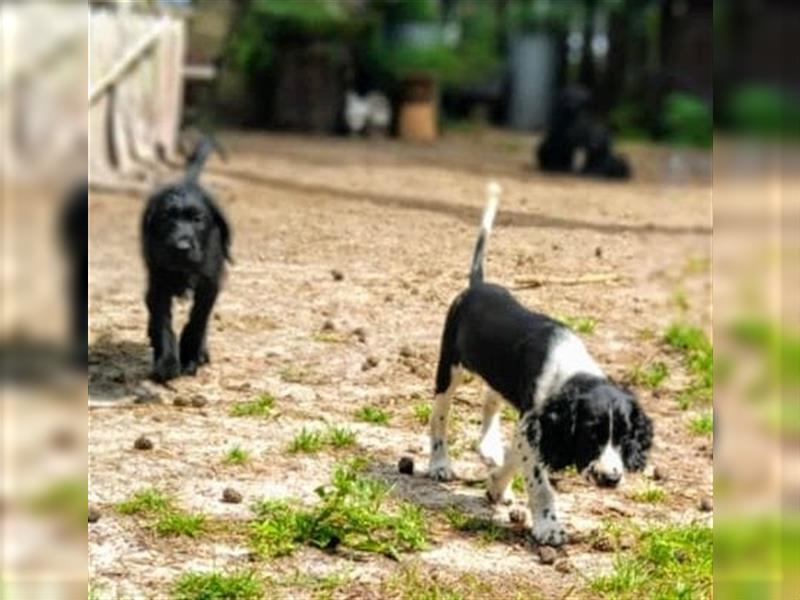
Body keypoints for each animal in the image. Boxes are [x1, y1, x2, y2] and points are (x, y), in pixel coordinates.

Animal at [141, 137, 231, 380]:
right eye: (166, 217)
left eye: (198, 219)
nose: (181, 247)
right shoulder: (159, 281)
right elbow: (162, 321)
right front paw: (167, 361)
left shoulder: (210, 283)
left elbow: (198, 319)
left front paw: (191, 355)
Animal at [428, 185, 652, 548]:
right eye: (591, 434)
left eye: (625, 436)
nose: (611, 479)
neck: (574, 375)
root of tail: (477, 285)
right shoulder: (534, 425)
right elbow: (539, 482)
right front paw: (548, 526)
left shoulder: (529, 424)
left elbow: (515, 455)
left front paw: (496, 486)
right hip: (449, 368)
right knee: (439, 417)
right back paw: (439, 463)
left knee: (490, 399)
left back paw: (488, 447)